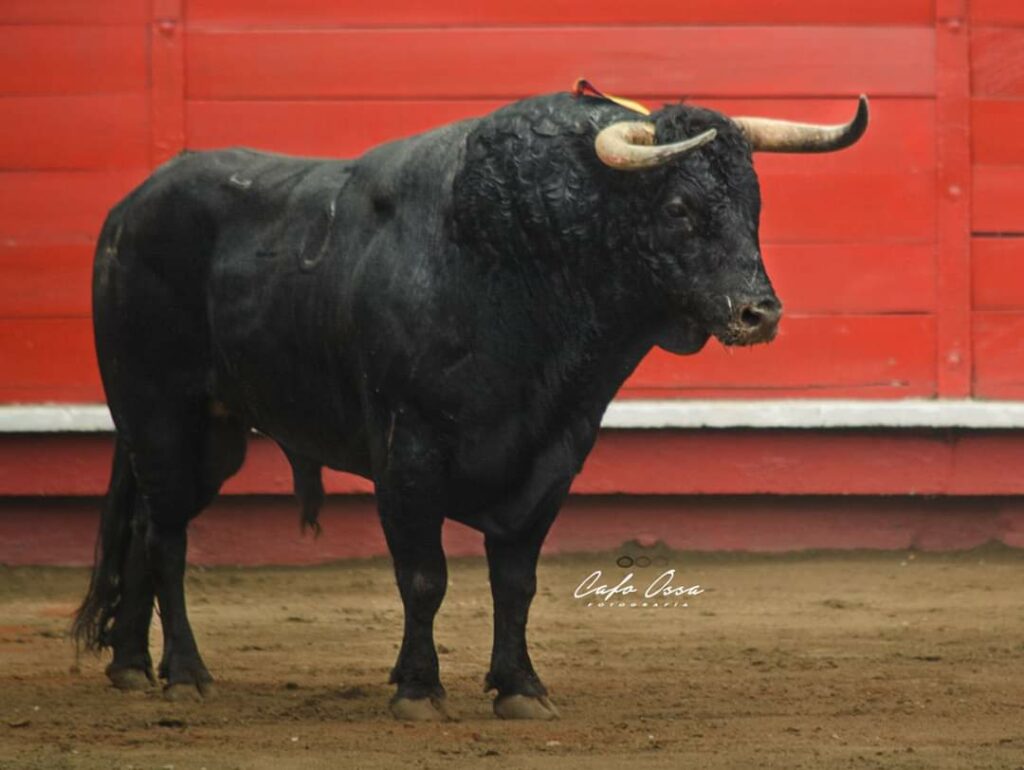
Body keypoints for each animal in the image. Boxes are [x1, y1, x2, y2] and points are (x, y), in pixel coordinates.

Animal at [72, 87, 868, 721]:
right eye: (680, 207)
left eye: (753, 206)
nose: (759, 313)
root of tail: (127, 209)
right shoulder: (410, 451)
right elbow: (425, 577)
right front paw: (419, 691)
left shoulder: (554, 453)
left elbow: (515, 581)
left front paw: (520, 687)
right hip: (156, 410)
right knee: (168, 537)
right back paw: (185, 673)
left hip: (214, 434)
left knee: (146, 525)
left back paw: (131, 667)